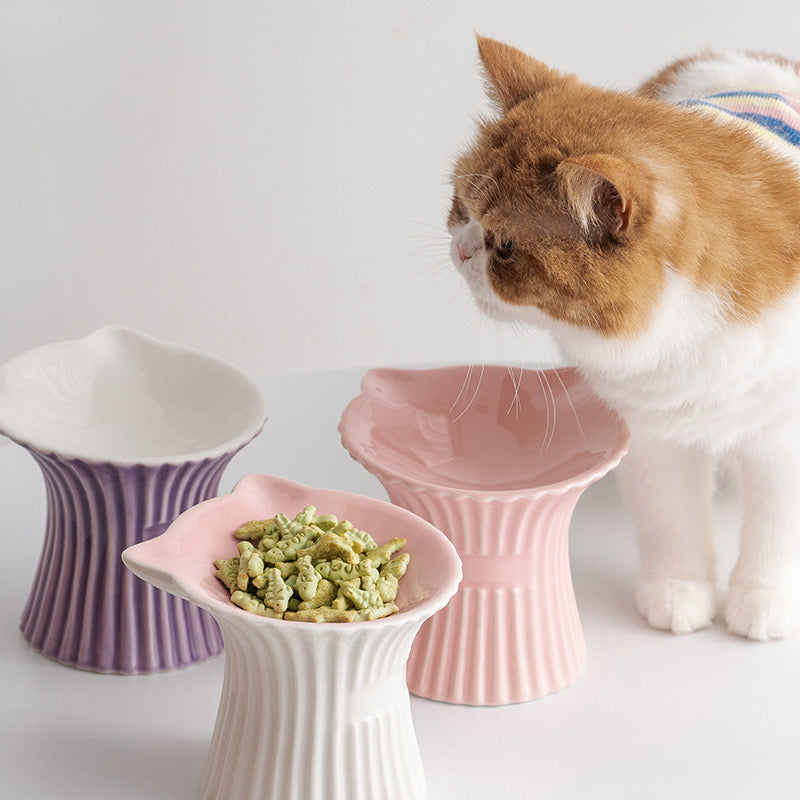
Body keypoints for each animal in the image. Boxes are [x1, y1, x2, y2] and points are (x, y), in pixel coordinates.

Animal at [446, 37, 800, 644]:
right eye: (460, 207)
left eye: (505, 246)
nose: (463, 248)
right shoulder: (655, 434)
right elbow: (671, 521)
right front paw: (678, 593)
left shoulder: (784, 439)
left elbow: (776, 531)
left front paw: (764, 600)